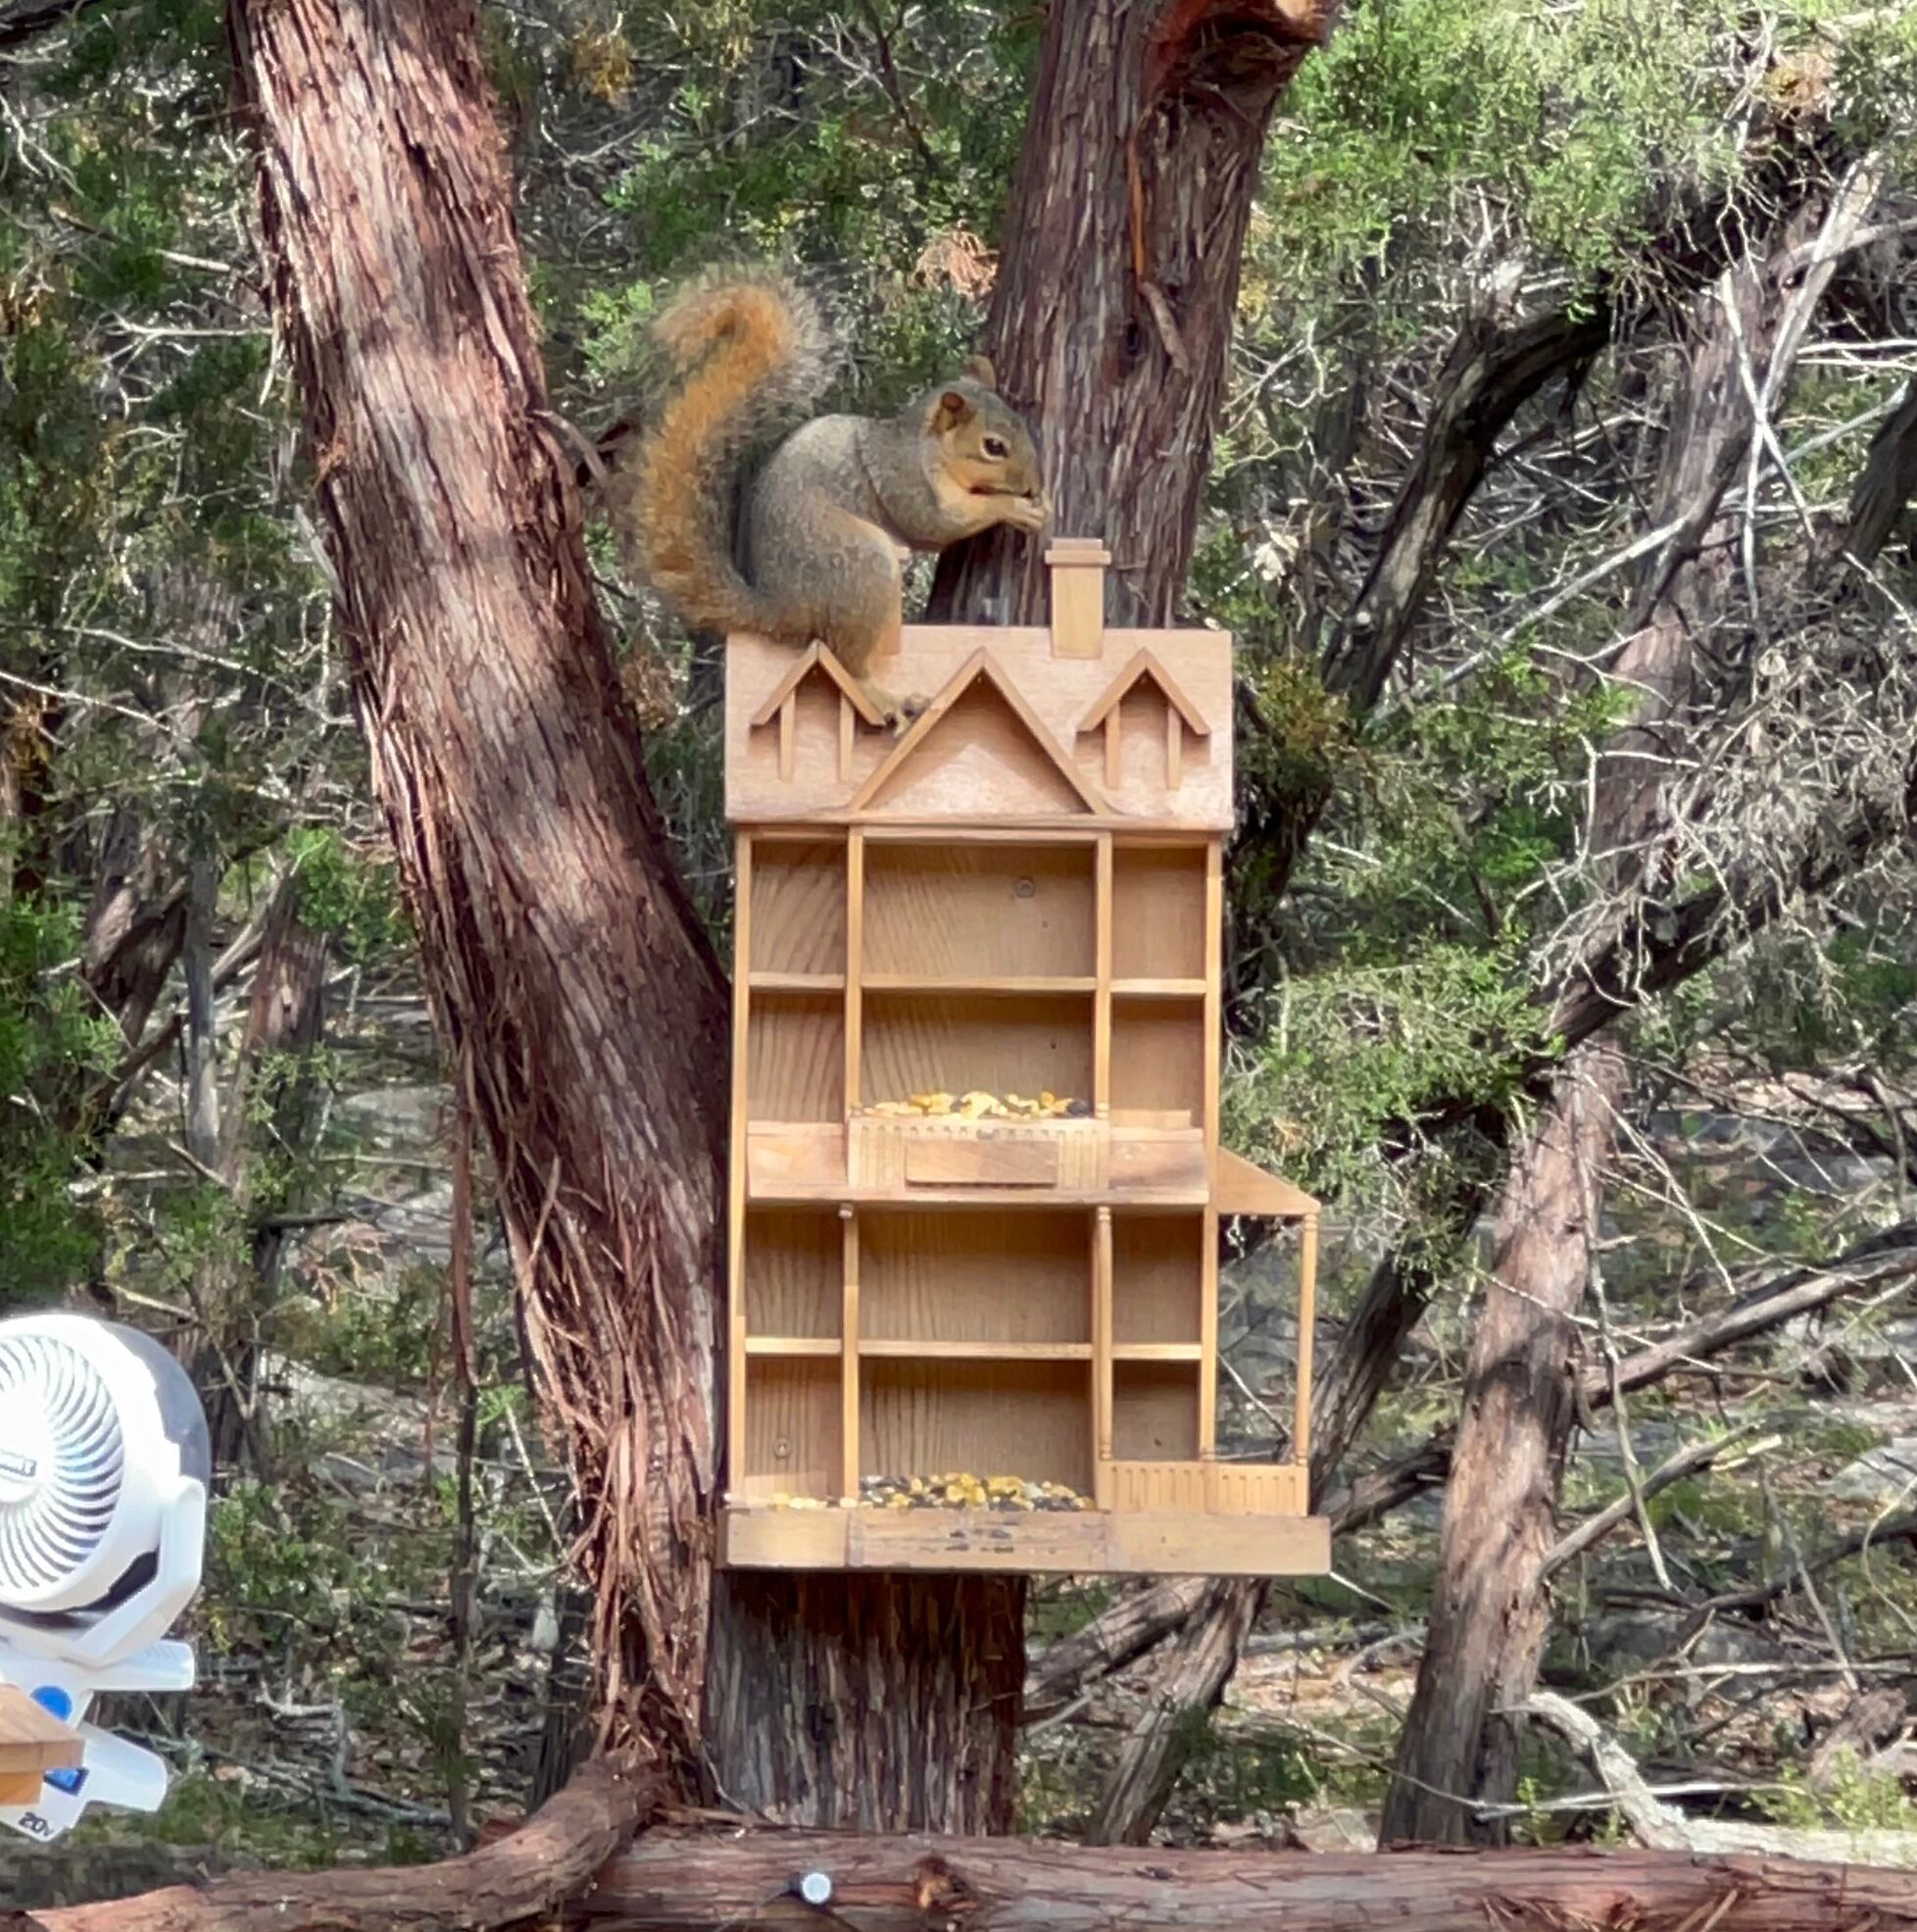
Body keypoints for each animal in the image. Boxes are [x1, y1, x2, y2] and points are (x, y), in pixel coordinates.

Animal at [614, 268, 1051, 722]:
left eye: (1022, 424)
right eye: (993, 446)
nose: (1034, 485)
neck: (925, 446)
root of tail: (779, 610)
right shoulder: (905, 480)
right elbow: (935, 524)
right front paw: (1016, 508)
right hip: (858, 564)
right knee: (847, 661)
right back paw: (886, 699)